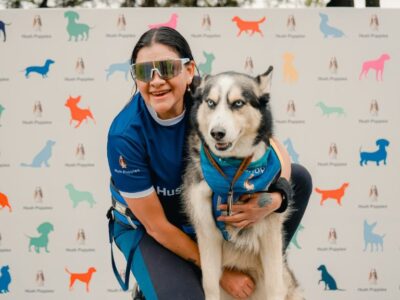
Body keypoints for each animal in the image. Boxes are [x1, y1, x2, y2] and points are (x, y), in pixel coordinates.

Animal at [183, 68, 302, 300]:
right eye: (211, 103)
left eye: (238, 103)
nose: (217, 133)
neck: (232, 177)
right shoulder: (207, 233)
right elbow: (210, 285)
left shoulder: (270, 233)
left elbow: (275, 286)